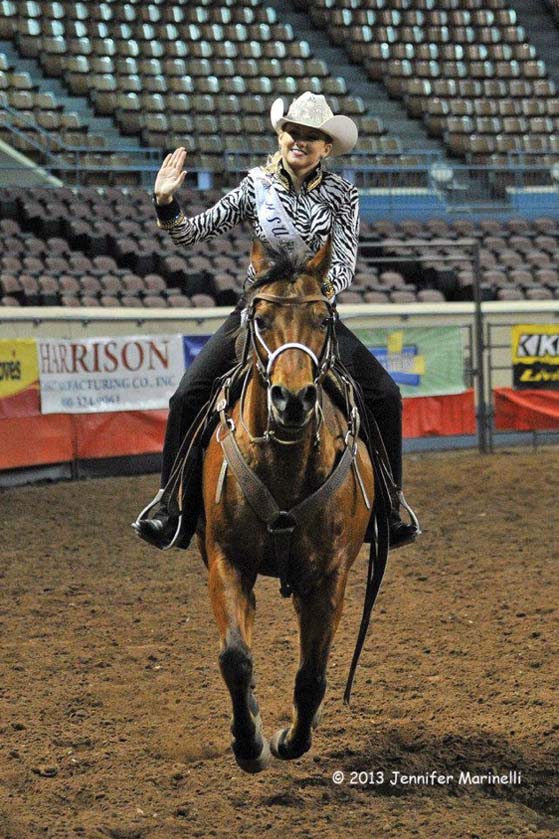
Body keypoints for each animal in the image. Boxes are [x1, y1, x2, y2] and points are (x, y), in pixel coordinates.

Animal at [199, 238, 388, 776]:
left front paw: (290, 739)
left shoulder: (329, 575)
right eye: (261, 319)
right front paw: (249, 743)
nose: (294, 398)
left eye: (323, 320)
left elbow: (312, 675)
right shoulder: (226, 560)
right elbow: (235, 658)